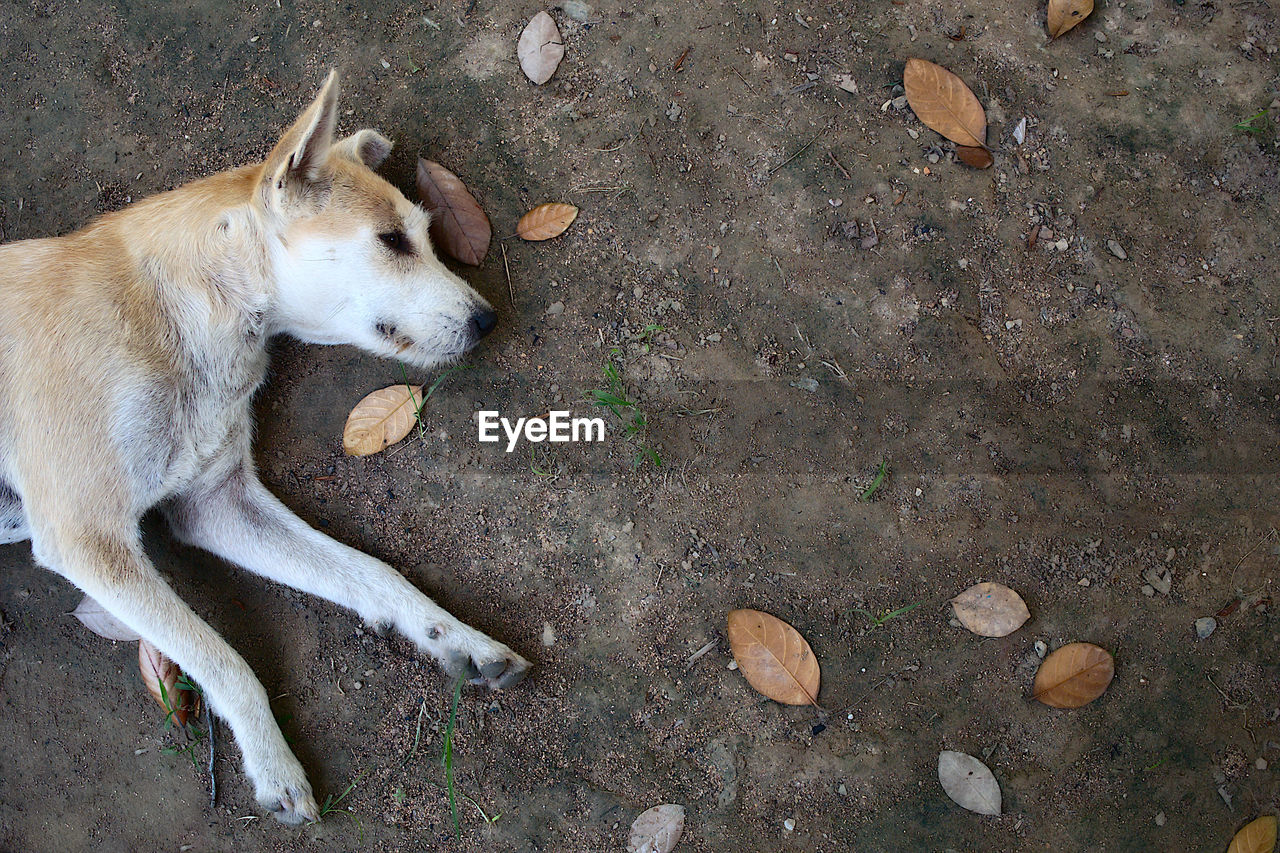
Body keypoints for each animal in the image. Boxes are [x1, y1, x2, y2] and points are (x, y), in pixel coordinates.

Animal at [0, 74, 527, 824]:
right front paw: (274, 764)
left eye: (427, 235)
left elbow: (373, 572)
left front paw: (457, 638)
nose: (487, 320)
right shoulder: (85, 536)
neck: (178, 307)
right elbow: (226, 659)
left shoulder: (217, 505)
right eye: (393, 240)